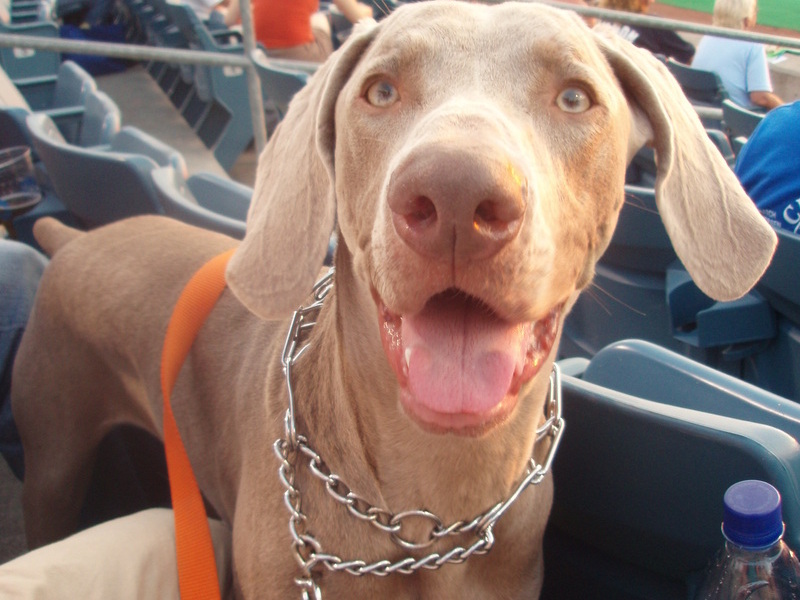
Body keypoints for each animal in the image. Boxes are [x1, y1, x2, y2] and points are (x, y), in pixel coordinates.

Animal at [10, 2, 776, 596]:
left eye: (574, 97)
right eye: (380, 91)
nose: (456, 196)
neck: (432, 513)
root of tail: (73, 236)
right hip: (53, 454)